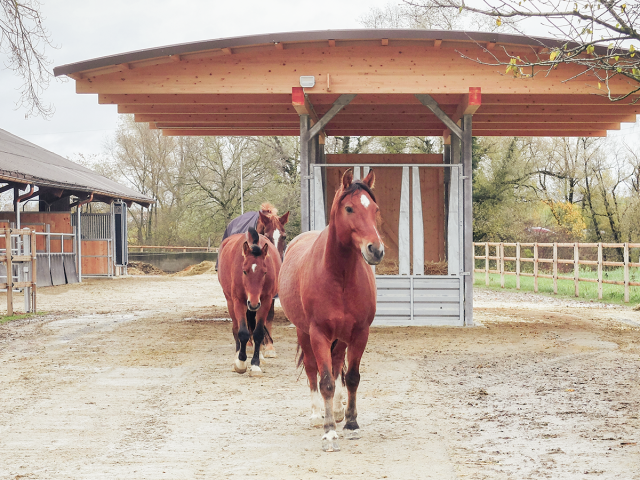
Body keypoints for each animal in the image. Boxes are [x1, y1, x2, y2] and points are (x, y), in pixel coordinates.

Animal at [217, 227, 282, 376]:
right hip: (231, 302)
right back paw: (237, 356)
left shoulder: (265, 301)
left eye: (264, 272)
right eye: (244, 271)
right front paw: (241, 362)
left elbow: (258, 333)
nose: (253, 303)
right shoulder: (239, 301)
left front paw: (255, 364)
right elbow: (242, 332)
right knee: (236, 328)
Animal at [278, 169, 384, 452]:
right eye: (349, 208)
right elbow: (325, 380)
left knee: (337, 367)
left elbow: (352, 377)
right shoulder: (319, 334)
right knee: (312, 370)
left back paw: (336, 411)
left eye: (375, 209)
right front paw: (328, 431)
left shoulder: (359, 333)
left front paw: (351, 423)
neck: (340, 277)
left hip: (341, 338)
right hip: (305, 334)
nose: (376, 249)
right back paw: (318, 414)